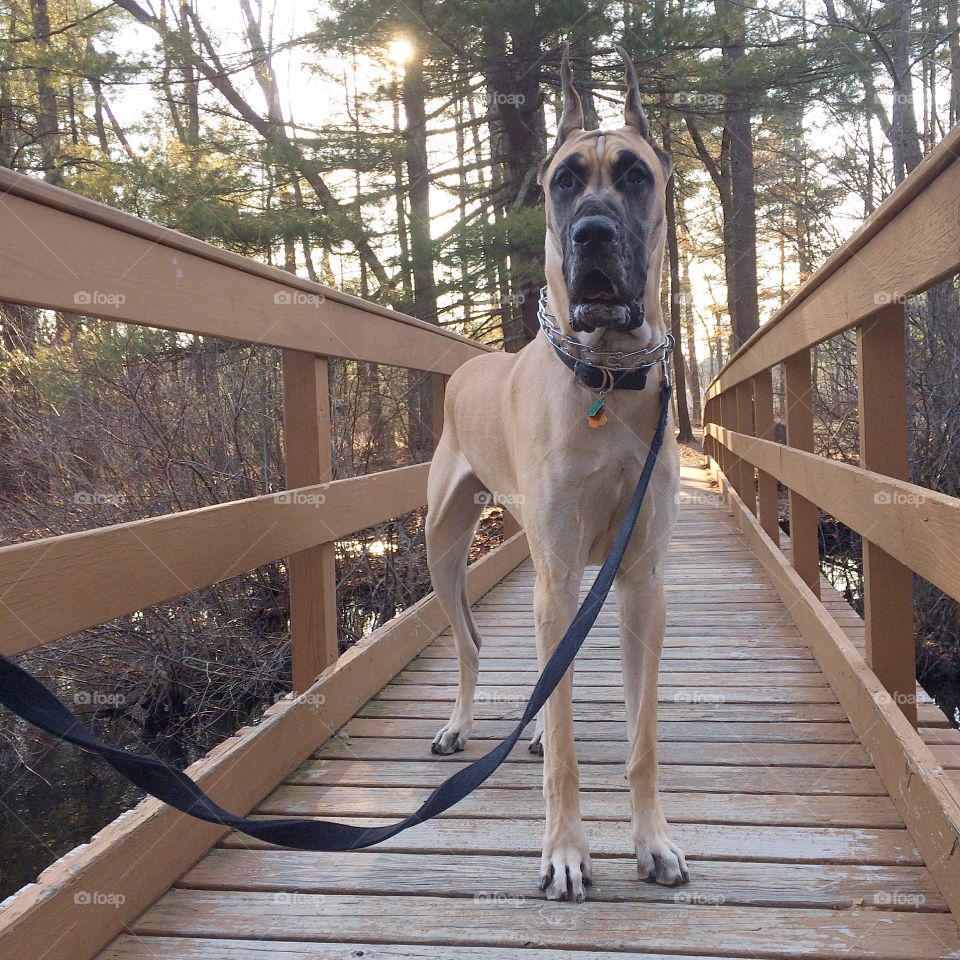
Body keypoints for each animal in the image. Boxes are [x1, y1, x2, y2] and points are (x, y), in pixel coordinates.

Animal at [424, 45, 688, 900]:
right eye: (563, 181)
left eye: (636, 175)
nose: (593, 233)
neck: (607, 375)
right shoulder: (562, 569)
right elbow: (569, 743)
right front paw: (566, 851)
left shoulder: (641, 581)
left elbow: (642, 739)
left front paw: (652, 841)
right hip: (445, 549)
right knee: (473, 645)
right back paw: (460, 725)